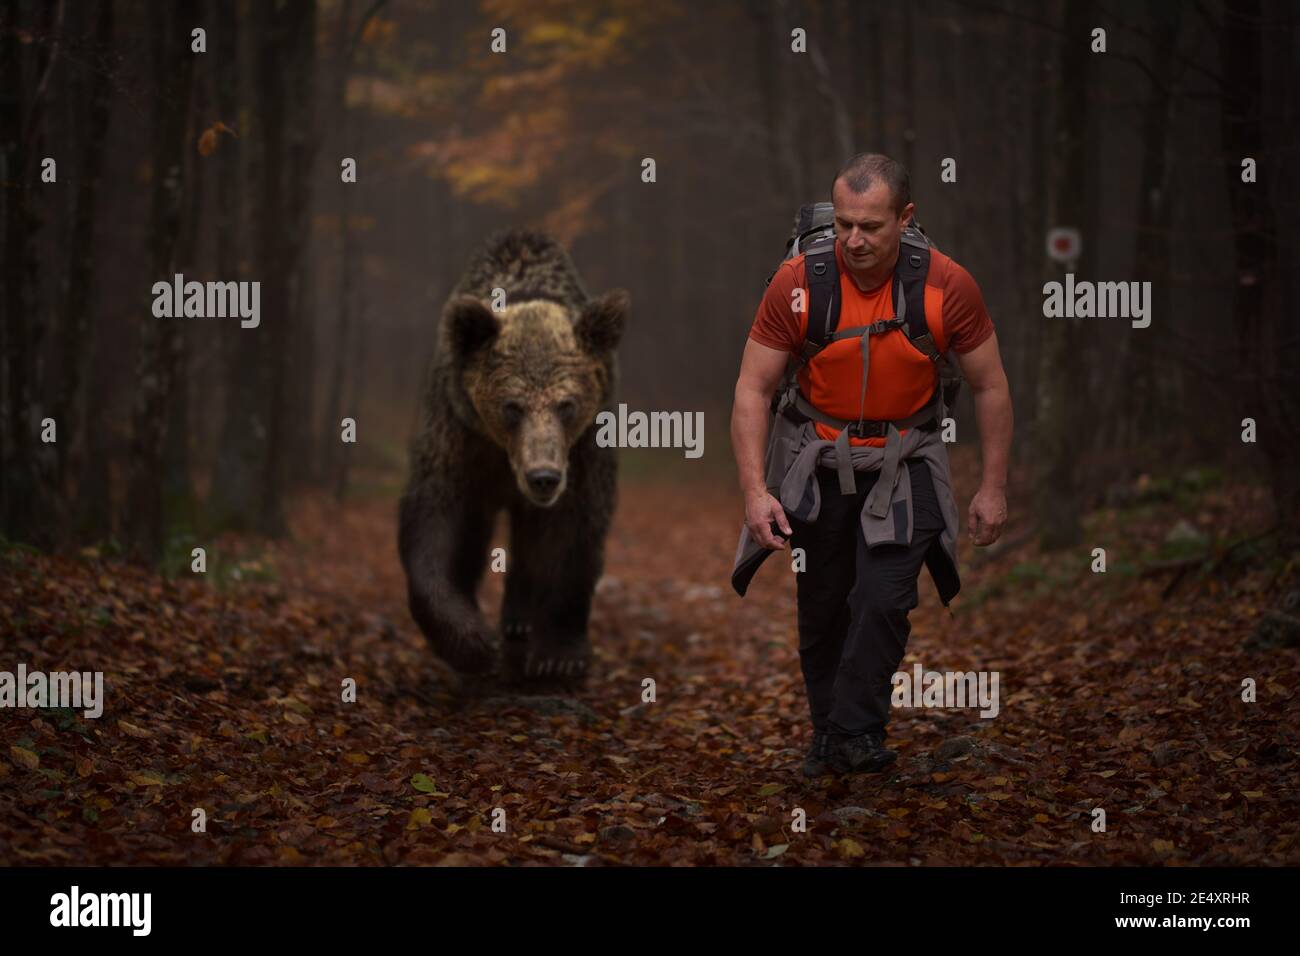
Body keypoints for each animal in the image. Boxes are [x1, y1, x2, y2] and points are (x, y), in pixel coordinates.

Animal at [398, 229, 629, 687]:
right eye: (512, 406)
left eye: (566, 404)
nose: (543, 477)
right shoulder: (460, 432)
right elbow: (438, 519)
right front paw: (471, 641)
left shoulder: (582, 448)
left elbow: (571, 531)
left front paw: (558, 655)